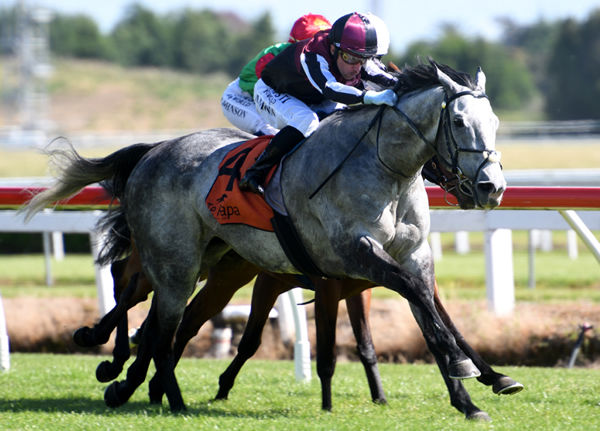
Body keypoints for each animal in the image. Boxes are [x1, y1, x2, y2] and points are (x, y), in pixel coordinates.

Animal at [25, 60, 508, 418]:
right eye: (459, 121)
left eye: (496, 122)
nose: (491, 187)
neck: (385, 169)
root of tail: (153, 151)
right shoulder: (350, 253)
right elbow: (417, 299)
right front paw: (468, 369)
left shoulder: (412, 256)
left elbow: (429, 311)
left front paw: (473, 393)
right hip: (175, 263)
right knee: (154, 319)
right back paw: (157, 391)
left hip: (210, 260)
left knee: (159, 322)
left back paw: (135, 384)